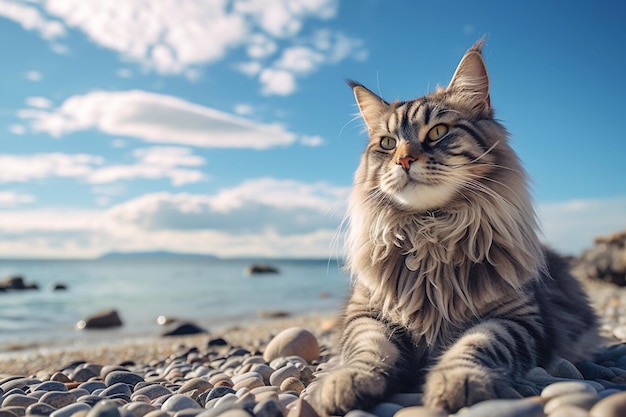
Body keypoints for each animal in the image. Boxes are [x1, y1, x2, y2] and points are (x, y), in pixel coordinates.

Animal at [304, 38, 596, 412]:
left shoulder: (517, 318)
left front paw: (458, 382)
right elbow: (369, 347)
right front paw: (346, 382)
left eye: (438, 132)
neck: (430, 236)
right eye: (387, 144)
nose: (404, 159)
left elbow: (479, 343)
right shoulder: (366, 313)